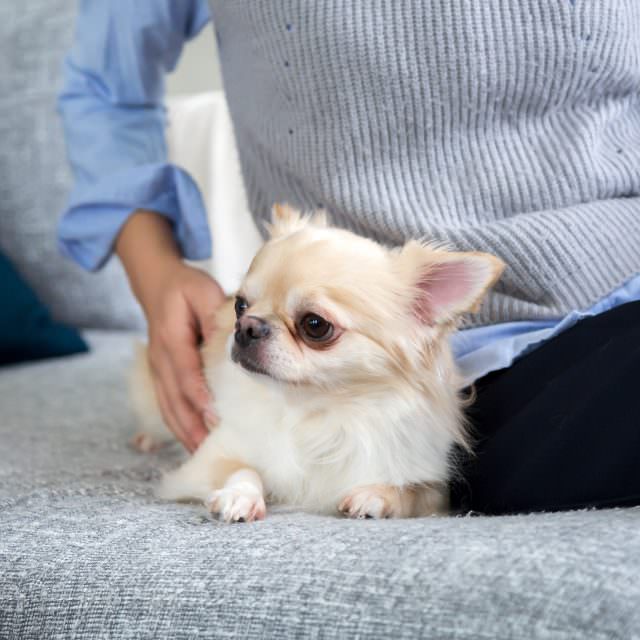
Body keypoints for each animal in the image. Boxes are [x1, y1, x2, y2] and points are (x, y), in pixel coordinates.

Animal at [132, 208, 504, 524]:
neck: (316, 412)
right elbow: (243, 469)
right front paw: (239, 496)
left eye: (315, 325)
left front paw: (379, 495)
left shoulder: (435, 490)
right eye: (240, 305)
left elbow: (414, 490)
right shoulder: (209, 459)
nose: (247, 326)